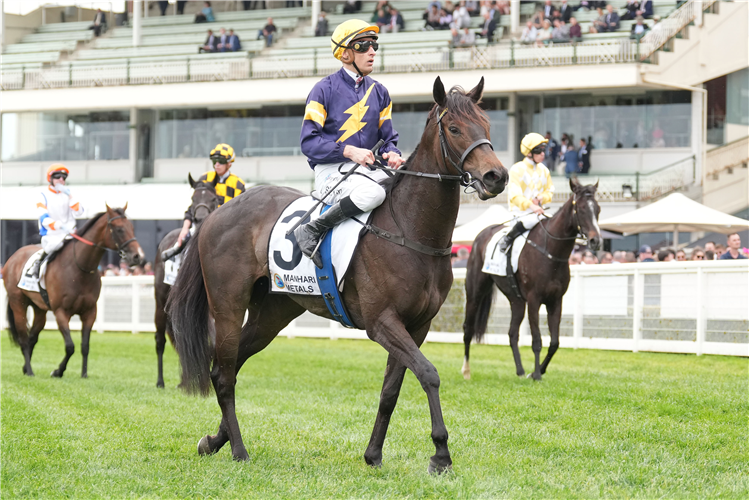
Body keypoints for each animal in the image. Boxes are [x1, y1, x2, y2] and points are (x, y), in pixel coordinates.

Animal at [2, 205, 144, 376]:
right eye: (119, 229)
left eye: (132, 227)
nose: (138, 256)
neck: (79, 268)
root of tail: (13, 257)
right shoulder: (61, 312)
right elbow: (70, 346)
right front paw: (58, 371)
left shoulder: (90, 312)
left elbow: (85, 346)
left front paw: (84, 374)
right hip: (18, 303)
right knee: (23, 338)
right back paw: (29, 371)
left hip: (39, 308)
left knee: (32, 337)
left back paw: (25, 367)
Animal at [153, 174, 221, 388]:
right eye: (192, 199)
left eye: (213, 199)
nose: (199, 218)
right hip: (160, 301)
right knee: (161, 339)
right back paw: (161, 381)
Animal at [168, 78, 508, 472]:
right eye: (453, 128)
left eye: (486, 125)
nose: (496, 176)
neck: (410, 229)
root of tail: (216, 214)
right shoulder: (382, 322)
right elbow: (429, 374)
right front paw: (440, 453)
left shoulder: (417, 326)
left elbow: (391, 391)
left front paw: (373, 454)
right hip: (228, 306)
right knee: (223, 375)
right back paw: (239, 450)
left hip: (272, 314)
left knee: (230, 366)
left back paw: (214, 440)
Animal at [458, 180, 600, 382]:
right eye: (580, 209)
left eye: (598, 209)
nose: (596, 241)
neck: (551, 252)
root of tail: (482, 234)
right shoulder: (534, 300)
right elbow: (537, 340)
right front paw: (537, 374)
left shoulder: (555, 301)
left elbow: (554, 342)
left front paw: (536, 371)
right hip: (475, 292)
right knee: (468, 329)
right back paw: (466, 370)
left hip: (516, 300)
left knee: (512, 333)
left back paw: (520, 370)